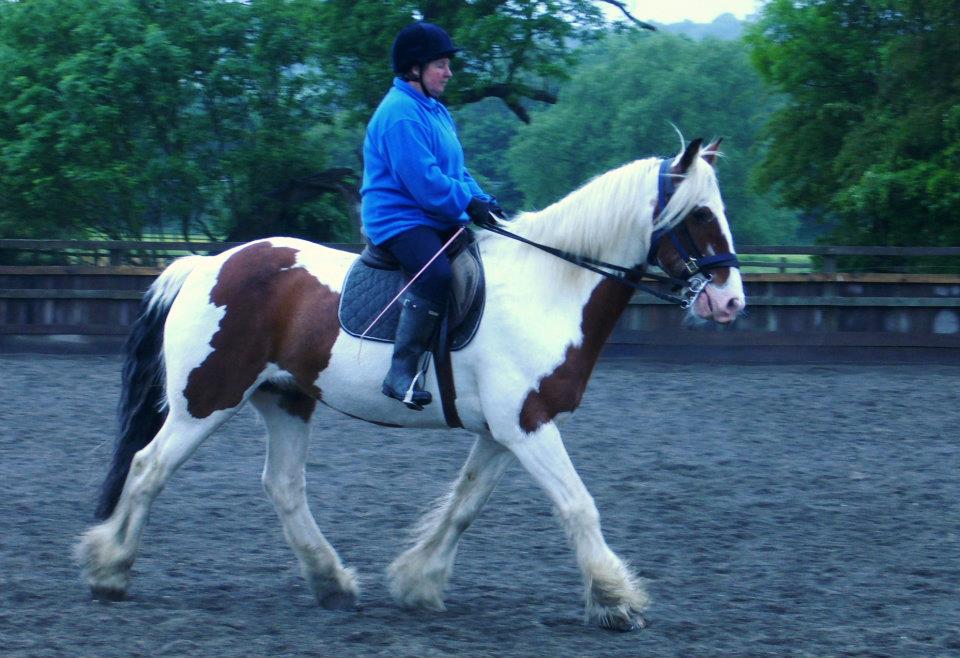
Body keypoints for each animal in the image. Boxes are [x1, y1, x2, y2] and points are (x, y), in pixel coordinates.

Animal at [75, 137, 748, 632]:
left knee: (282, 486)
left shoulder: (504, 431)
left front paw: (418, 582)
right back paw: (110, 570)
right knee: (148, 467)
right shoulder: (527, 425)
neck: (550, 286)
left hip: (285, 398)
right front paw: (615, 600)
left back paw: (332, 583)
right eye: (700, 216)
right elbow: (578, 505)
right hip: (206, 400)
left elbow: (465, 505)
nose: (731, 302)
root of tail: (207, 266)